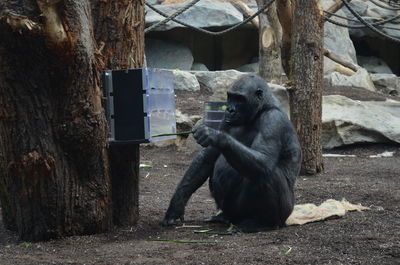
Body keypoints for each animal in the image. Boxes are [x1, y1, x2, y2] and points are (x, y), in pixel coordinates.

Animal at [161, 73, 302, 231]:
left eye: (240, 98)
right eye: (230, 96)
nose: (230, 109)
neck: (261, 109)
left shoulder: (273, 120)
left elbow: (264, 160)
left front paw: (216, 136)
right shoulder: (224, 118)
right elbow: (207, 158)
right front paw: (176, 204)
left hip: (285, 212)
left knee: (266, 173)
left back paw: (262, 223)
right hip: (232, 212)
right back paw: (223, 217)